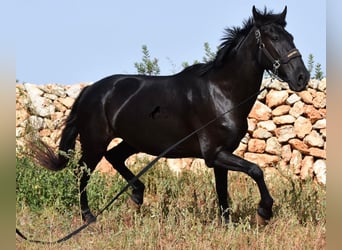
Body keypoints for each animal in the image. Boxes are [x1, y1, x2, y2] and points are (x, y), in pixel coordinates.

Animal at [32, 6, 310, 225]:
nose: (301, 77)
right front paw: (264, 212)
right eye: (273, 37)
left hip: (133, 141)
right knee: (83, 173)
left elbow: (223, 192)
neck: (222, 92)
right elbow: (256, 170)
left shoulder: (221, 155)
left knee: (114, 157)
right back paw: (88, 217)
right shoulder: (215, 154)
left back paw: (137, 196)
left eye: (291, 36)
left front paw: (228, 225)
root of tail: (91, 90)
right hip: (94, 142)